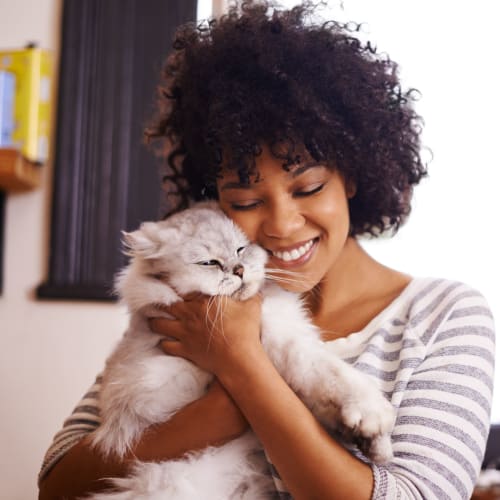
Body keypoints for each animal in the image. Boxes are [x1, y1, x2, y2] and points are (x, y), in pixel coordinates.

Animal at [88, 201, 396, 498]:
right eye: (209, 263)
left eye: (240, 249)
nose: (238, 270)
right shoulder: (283, 343)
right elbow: (334, 376)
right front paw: (373, 417)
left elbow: (328, 394)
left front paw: (374, 444)